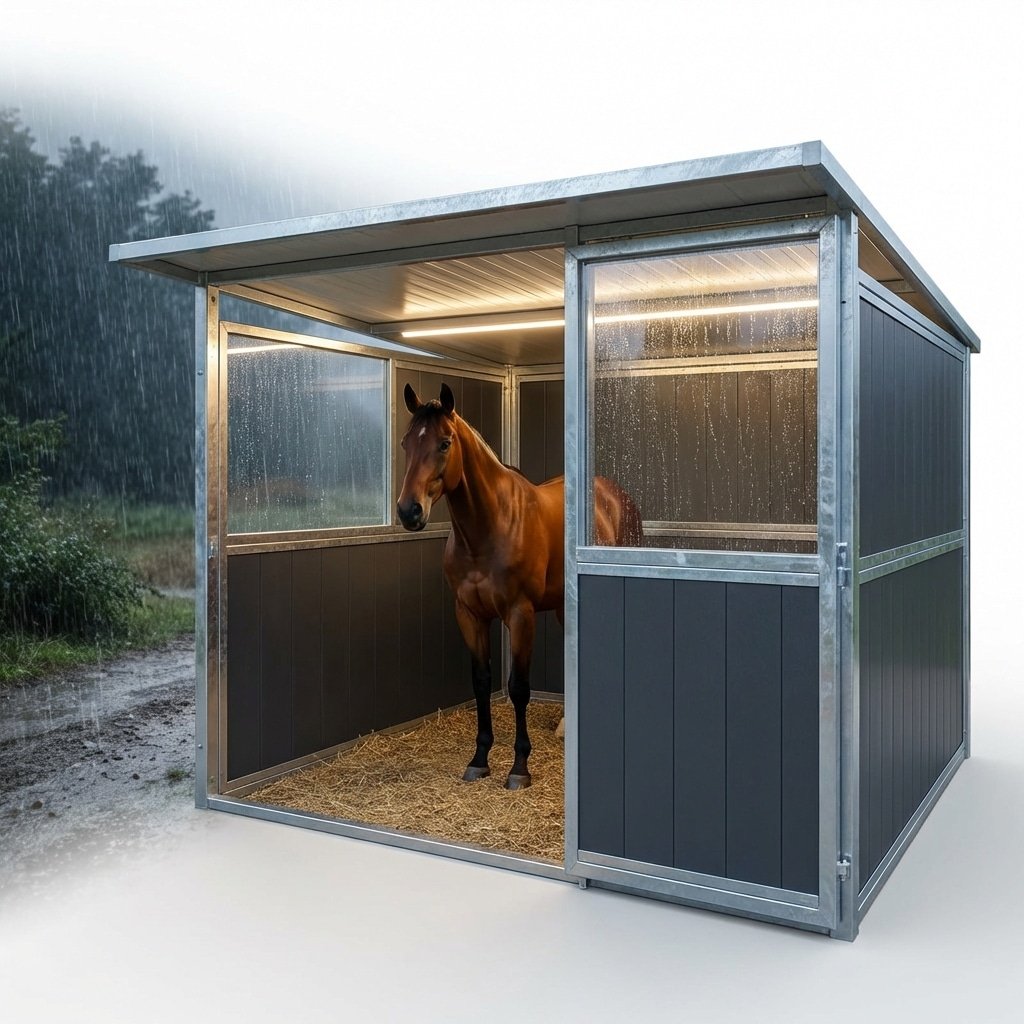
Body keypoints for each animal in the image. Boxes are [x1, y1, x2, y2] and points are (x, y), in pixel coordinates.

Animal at [397, 382, 642, 790]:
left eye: (444, 443)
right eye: (405, 443)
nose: (408, 511)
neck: (490, 527)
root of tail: (614, 494)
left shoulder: (520, 614)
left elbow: (519, 687)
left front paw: (519, 767)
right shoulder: (469, 615)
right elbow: (482, 682)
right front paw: (480, 759)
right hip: (561, 606)